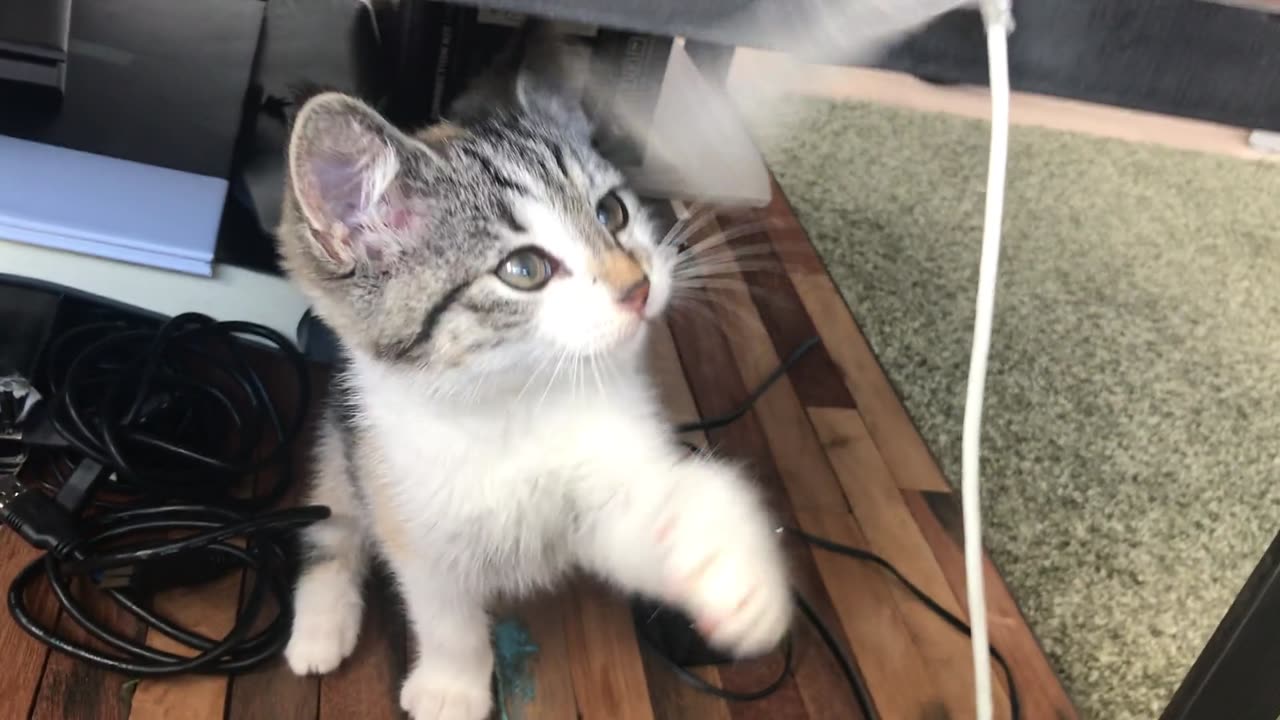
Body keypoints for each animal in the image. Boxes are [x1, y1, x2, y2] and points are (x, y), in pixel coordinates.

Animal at [277, 36, 788, 717]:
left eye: (612, 211)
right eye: (524, 269)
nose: (638, 287)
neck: (516, 402)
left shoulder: (604, 487)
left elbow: (655, 517)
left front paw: (728, 564)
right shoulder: (409, 506)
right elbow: (444, 613)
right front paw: (452, 687)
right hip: (343, 441)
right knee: (332, 521)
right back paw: (320, 626)